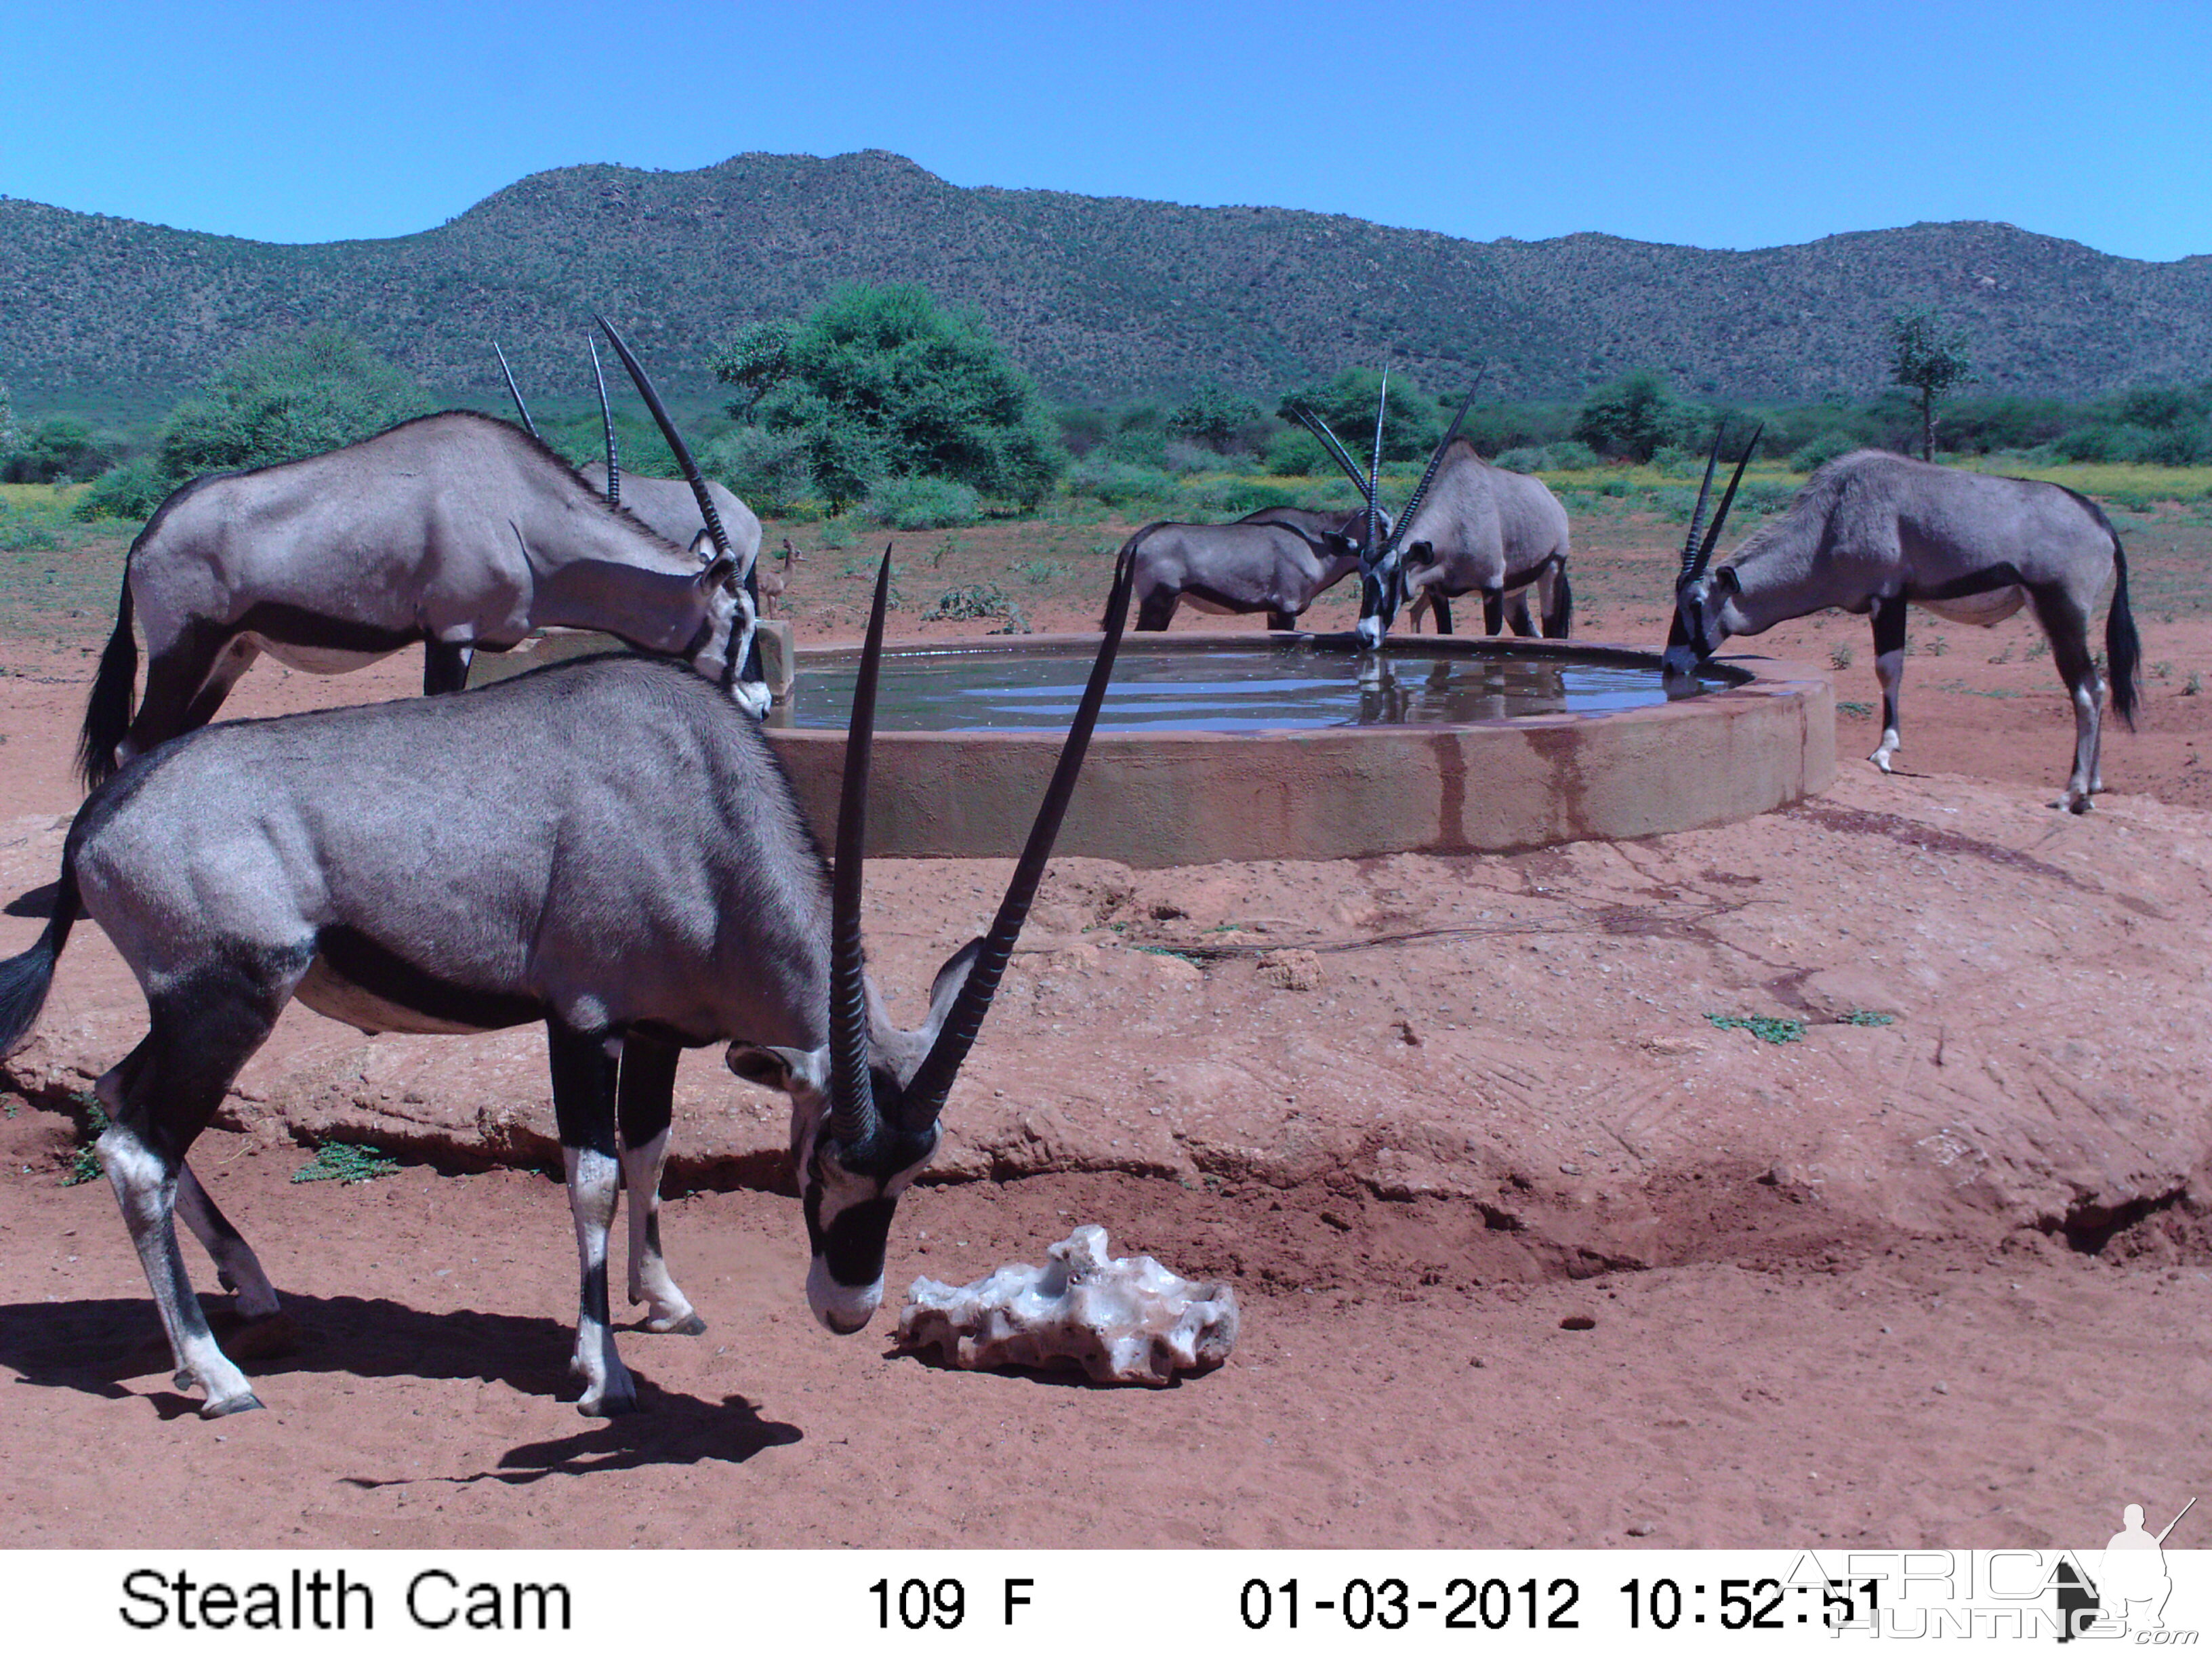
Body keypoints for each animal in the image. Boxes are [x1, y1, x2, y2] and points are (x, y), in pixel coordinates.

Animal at [0, 553, 1141, 1425]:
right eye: (822, 1160)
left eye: (915, 1173)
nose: (849, 1308)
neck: (694, 802)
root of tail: (99, 817)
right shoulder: (581, 1022)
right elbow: (591, 1176)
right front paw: (605, 1373)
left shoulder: (662, 1030)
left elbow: (650, 1150)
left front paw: (665, 1301)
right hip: (229, 1004)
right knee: (139, 1149)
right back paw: (217, 1373)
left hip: (190, 1010)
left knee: (117, 1096)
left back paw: (251, 1289)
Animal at [75, 323, 769, 800]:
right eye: (737, 619)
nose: (763, 703)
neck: (521, 511)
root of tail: (148, 535)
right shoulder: (450, 635)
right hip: (181, 650)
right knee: (134, 744)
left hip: (229, 655)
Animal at [1292, 387, 1565, 646]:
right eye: (1361, 573)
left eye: (1395, 573)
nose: (1366, 636)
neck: (1458, 523)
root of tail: (1549, 498)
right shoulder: (1437, 592)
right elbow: (1445, 632)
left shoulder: (1492, 589)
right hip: (1515, 594)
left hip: (1552, 570)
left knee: (1554, 629)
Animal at [1663, 445, 2132, 814]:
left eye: (1696, 603)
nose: (1669, 664)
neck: (1831, 520)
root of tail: (2101, 523)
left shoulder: (1888, 599)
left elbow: (1888, 670)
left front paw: (1885, 752)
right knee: (2099, 686)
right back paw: (2092, 786)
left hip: (2061, 613)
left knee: (2086, 688)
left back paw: (2072, 793)